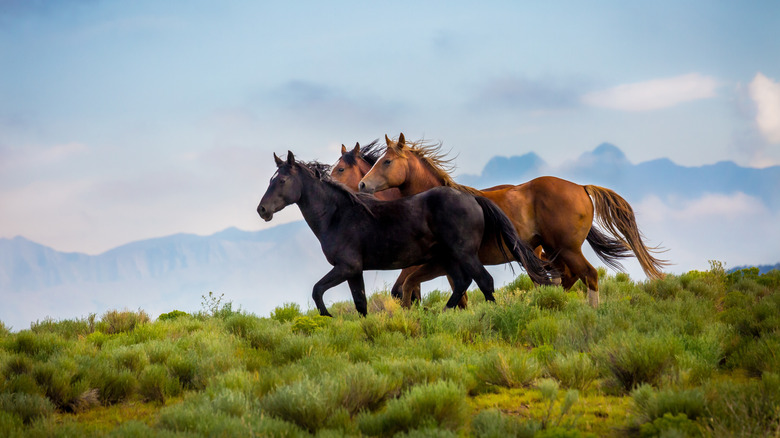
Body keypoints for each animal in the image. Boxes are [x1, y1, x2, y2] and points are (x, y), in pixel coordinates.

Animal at [258, 152, 552, 316]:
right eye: (271, 180)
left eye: (281, 180)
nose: (262, 210)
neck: (338, 215)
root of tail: (472, 198)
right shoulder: (354, 271)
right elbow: (361, 304)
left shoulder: (346, 266)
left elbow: (317, 291)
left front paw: (327, 317)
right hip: (450, 258)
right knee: (462, 284)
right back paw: (442, 314)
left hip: (464, 254)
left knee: (484, 282)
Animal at [356, 133, 668, 308]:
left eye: (387, 161)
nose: (362, 185)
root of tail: (581, 187)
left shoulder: (442, 262)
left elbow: (417, 288)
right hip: (553, 251)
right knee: (564, 279)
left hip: (567, 249)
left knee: (587, 275)